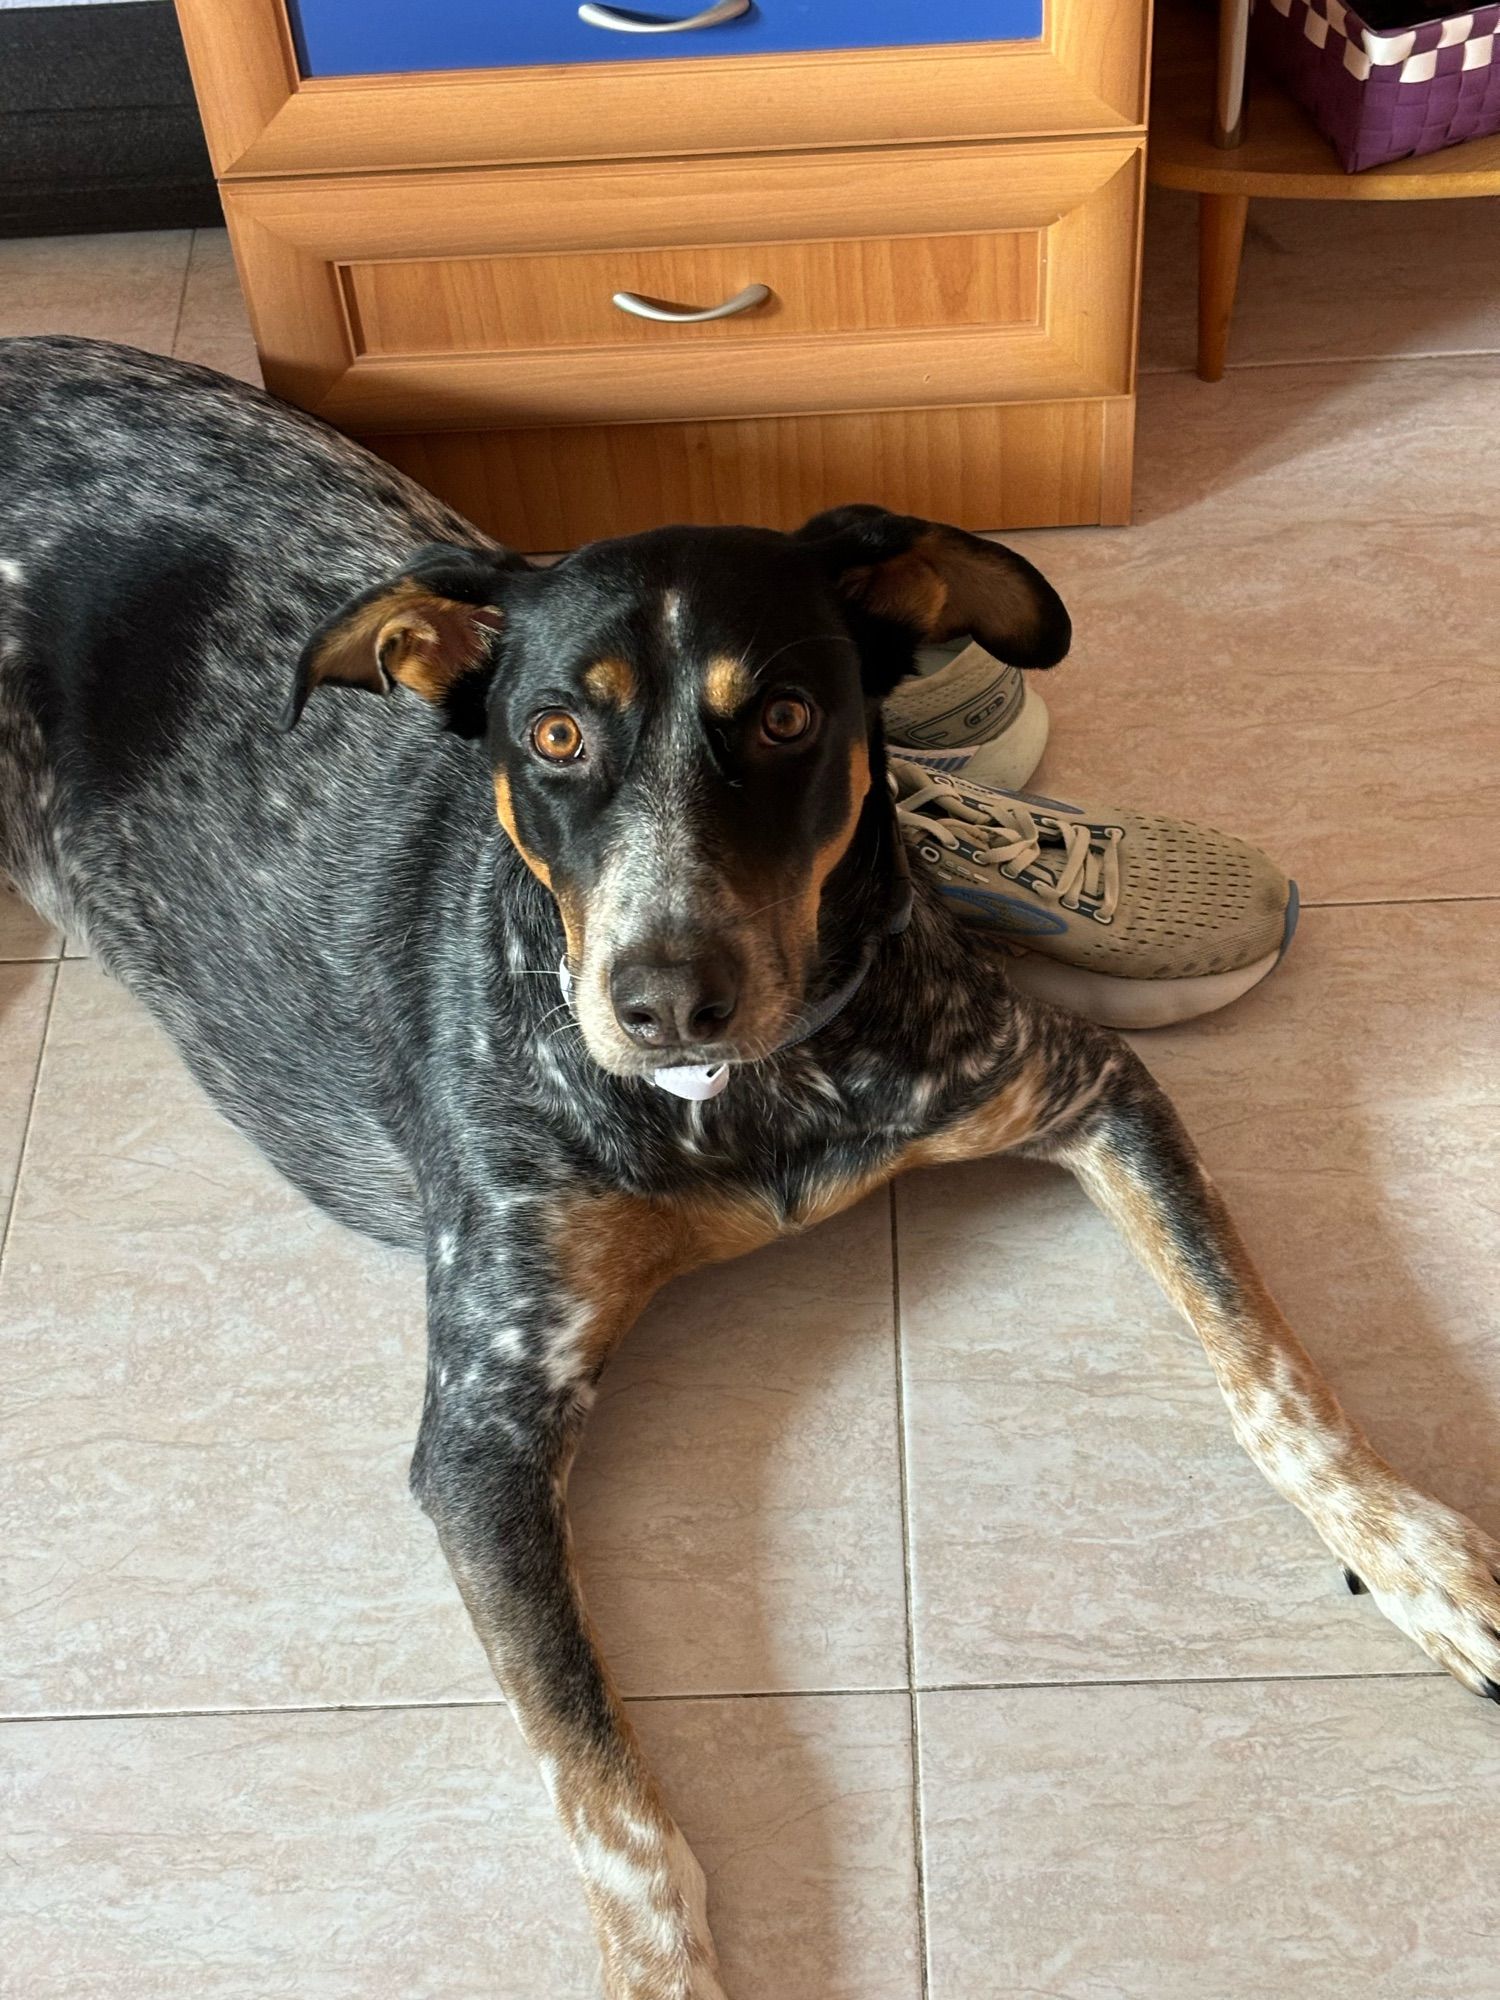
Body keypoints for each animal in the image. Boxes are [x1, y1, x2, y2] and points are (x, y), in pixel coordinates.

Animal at [2, 336, 1500, 1992]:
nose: (667, 997)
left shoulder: (1083, 1084)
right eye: (555, 736)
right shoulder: (484, 1428)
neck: (749, 1100)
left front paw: (1422, 1558)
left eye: (785, 720)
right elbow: (613, 1806)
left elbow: (1272, 1375)